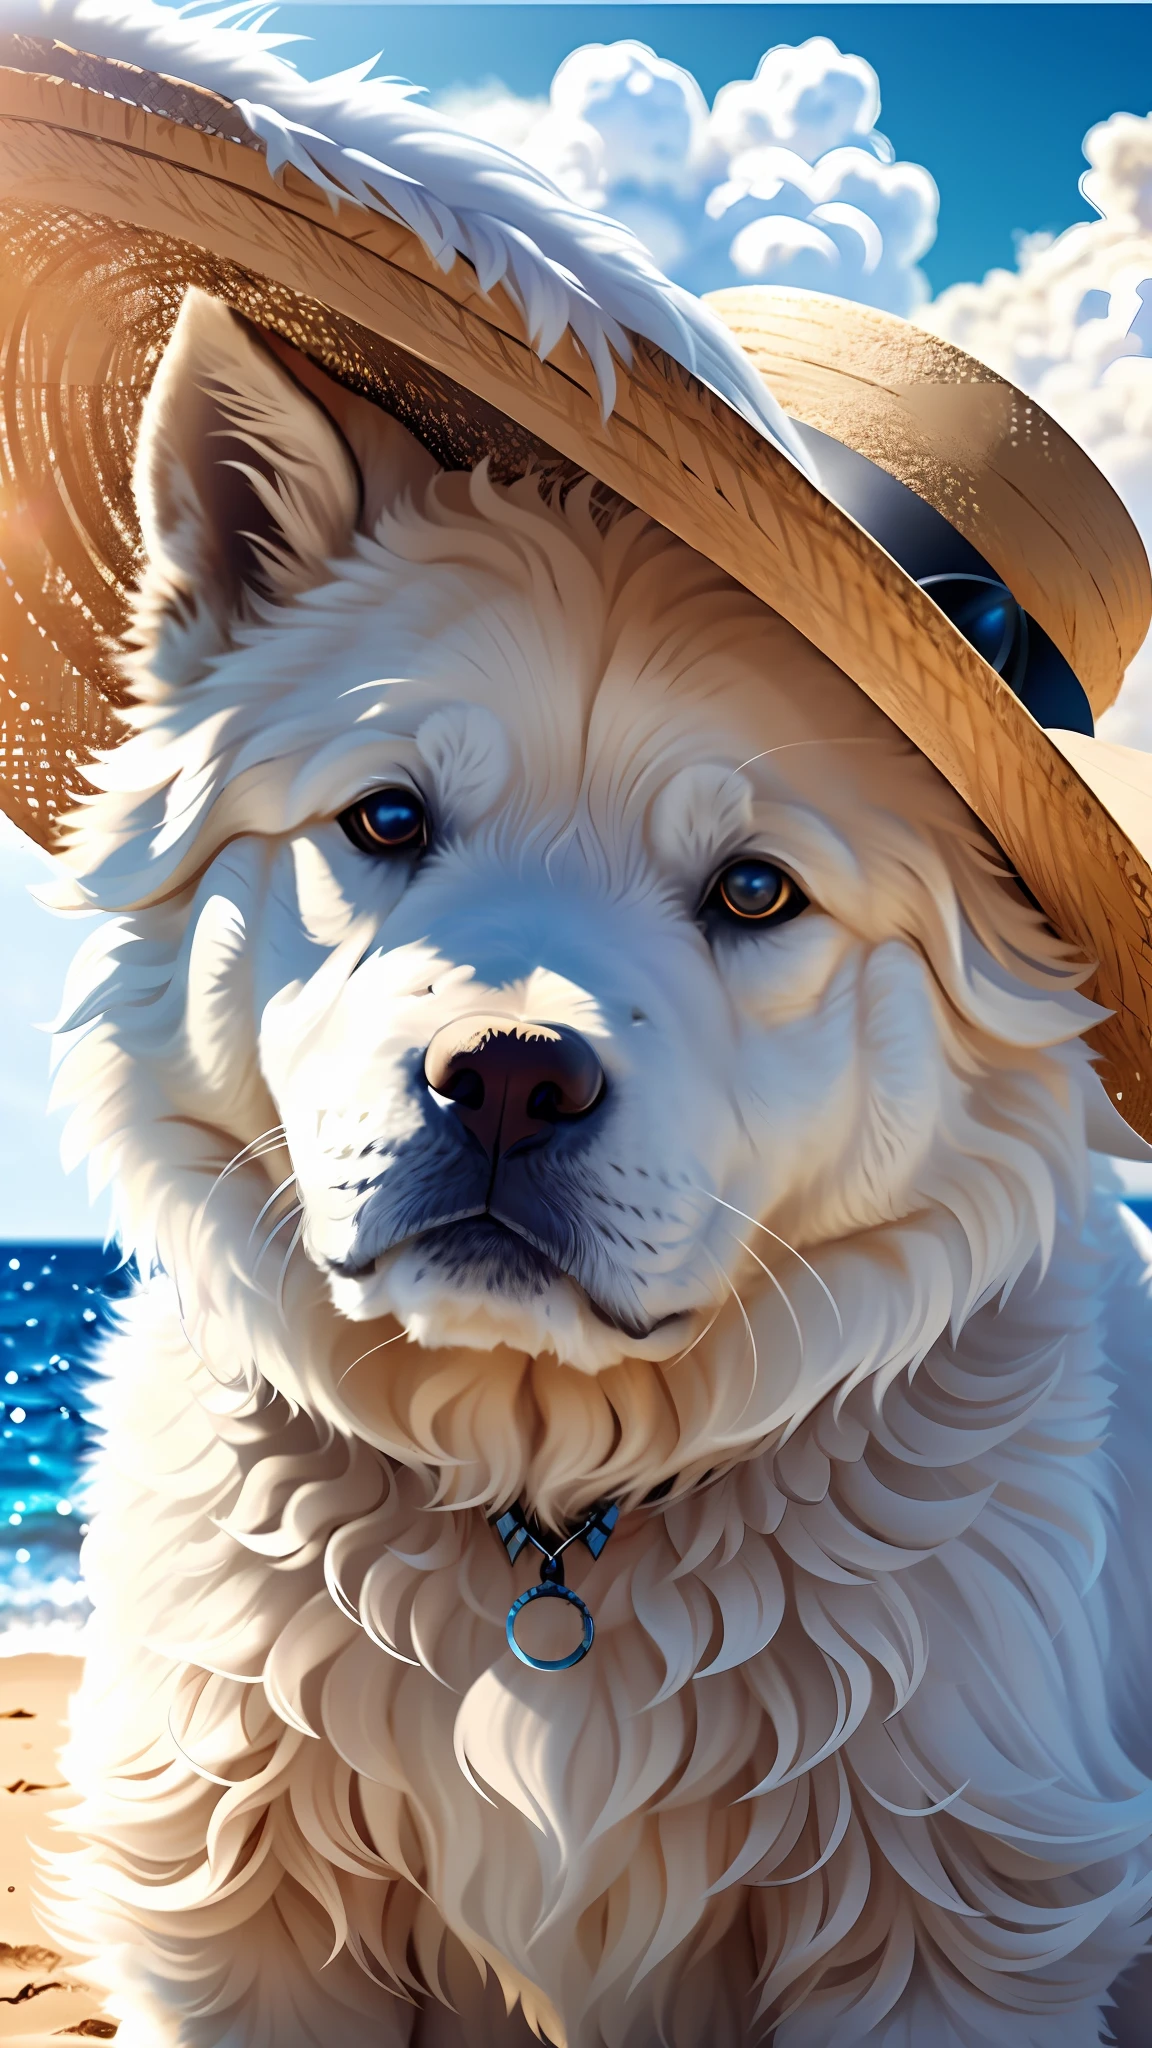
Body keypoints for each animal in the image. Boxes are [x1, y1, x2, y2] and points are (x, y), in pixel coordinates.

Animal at [40, 288, 1147, 2048]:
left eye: (756, 890)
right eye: (388, 819)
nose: (506, 1078)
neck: (547, 1517)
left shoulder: (955, 1917)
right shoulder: (237, 1902)